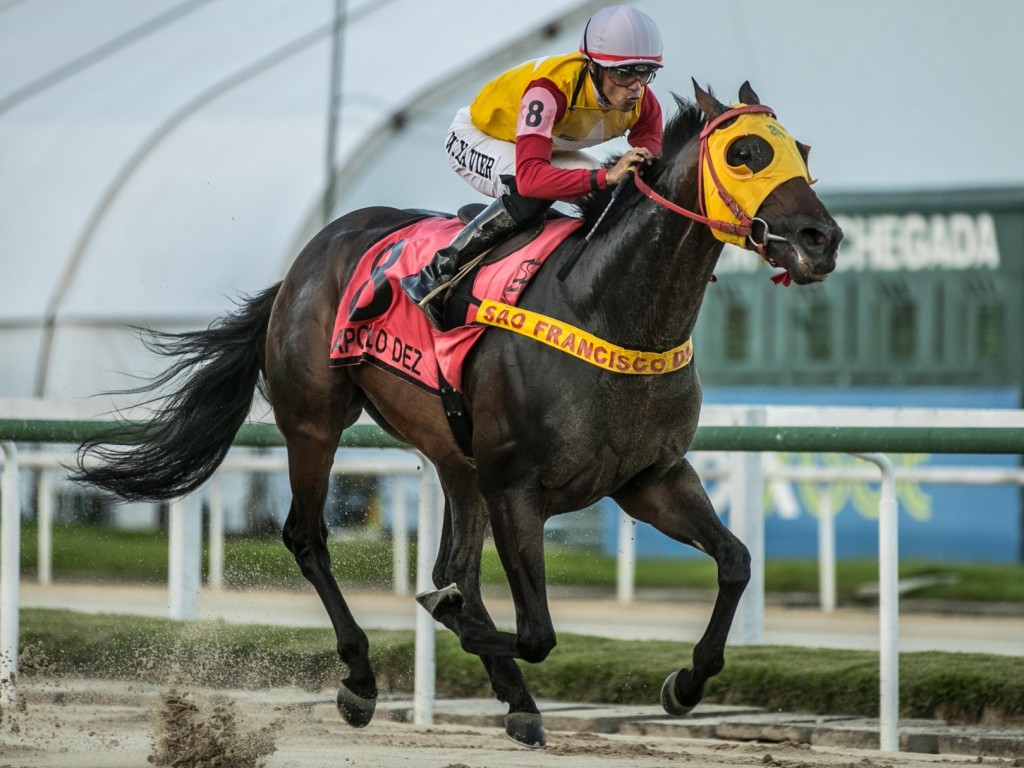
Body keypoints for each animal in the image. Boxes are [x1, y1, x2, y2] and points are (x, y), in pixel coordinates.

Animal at [72, 83, 839, 753]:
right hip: (315, 422)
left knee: (456, 566)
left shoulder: (651, 478)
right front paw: (449, 623)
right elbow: (534, 633)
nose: (820, 238)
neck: (606, 310)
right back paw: (361, 677)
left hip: (454, 457)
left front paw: (686, 681)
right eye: (744, 153)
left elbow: (735, 562)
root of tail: (312, 254)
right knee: (308, 537)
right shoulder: (516, 487)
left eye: (802, 148)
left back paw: (517, 702)